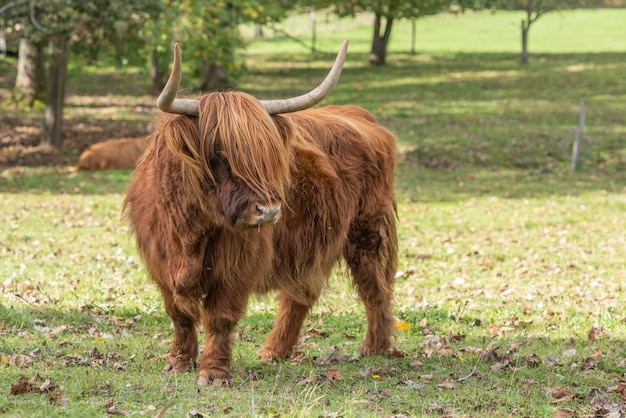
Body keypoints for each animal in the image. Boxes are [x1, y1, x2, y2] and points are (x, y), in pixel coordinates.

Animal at [123, 42, 404, 386]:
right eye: (218, 154)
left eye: (269, 157)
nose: (269, 210)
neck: (189, 232)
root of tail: (359, 114)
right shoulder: (160, 263)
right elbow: (179, 314)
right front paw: (178, 362)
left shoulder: (236, 264)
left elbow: (219, 316)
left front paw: (213, 372)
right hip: (312, 243)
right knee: (302, 293)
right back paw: (274, 350)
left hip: (368, 231)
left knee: (374, 287)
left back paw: (375, 346)